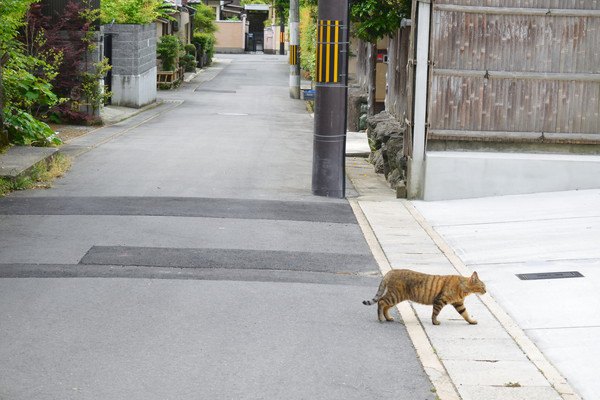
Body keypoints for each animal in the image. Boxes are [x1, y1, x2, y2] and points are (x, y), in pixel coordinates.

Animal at [360, 268, 488, 324]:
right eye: (483, 286)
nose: (486, 291)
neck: (463, 288)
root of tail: (392, 271)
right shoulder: (439, 300)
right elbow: (435, 313)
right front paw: (435, 322)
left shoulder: (458, 303)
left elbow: (465, 314)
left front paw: (471, 321)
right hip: (395, 296)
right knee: (381, 301)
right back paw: (381, 318)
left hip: (395, 297)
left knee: (385, 305)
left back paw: (388, 318)